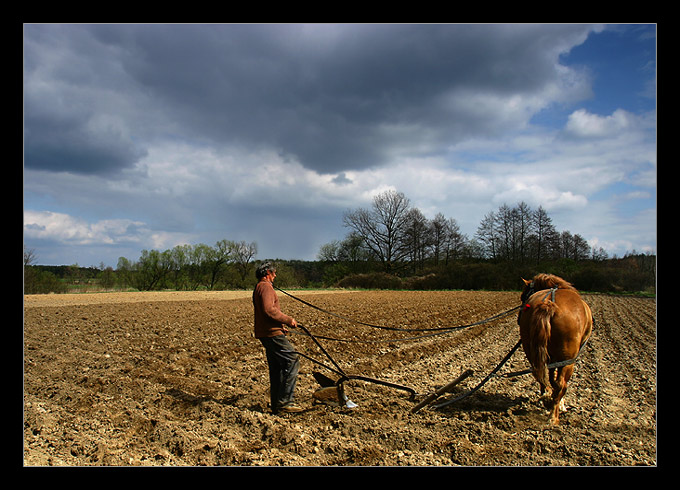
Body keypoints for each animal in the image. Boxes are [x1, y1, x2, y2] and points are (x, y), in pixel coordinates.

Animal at [516, 274, 592, 424]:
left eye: (523, 296)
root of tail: (549, 304)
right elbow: (556, 381)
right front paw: (560, 404)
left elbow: (550, 376)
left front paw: (549, 397)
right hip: (569, 359)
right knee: (561, 384)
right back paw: (553, 416)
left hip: (530, 349)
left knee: (539, 373)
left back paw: (546, 399)